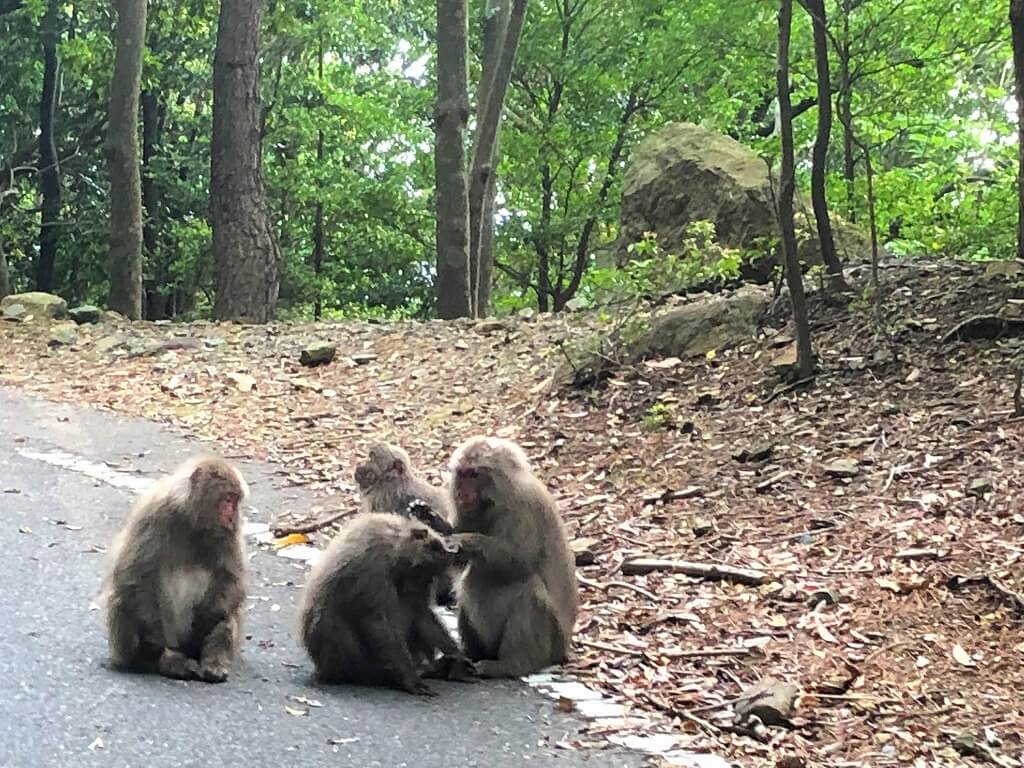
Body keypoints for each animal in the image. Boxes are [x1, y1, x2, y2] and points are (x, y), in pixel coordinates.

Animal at [101, 454, 249, 684]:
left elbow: (231, 579)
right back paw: (160, 662)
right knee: (123, 598)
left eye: (236, 500)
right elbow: (133, 575)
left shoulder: (229, 534)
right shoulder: (153, 515)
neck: (192, 520)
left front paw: (207, 620)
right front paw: (153, 640)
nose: (233, 516)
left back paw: (213, 664)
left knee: (227, 611)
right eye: (227, 499)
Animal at [299, 514, 468, 696]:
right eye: (434, 549)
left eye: (424, 578)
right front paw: (411, 679)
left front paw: (456, 653)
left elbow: (420, 614)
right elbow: (377, 624)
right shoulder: (373, 570)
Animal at [446, 438, 581, 679]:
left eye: (474, 474)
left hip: (554, 641)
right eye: (461, 474)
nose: (461, 493)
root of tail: (564, 650)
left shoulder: (522, 506)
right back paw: (472, 655)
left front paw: (466, 540)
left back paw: (512, 665)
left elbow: (519, 560)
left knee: (529, 589)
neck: (493, 501)